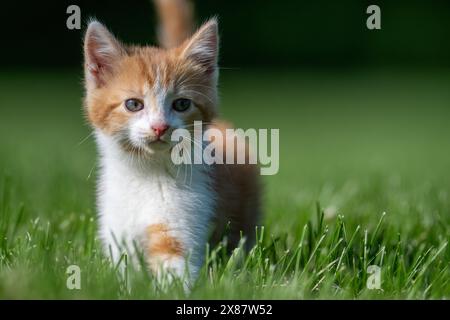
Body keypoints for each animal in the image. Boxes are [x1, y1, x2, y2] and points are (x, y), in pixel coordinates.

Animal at [82, 0, 262, 280]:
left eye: (181, 104)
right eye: (133, 104)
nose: (160, 127)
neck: (145, 173)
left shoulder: (181, 225)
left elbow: (174, 267)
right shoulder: (117, 234)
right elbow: (123, 271)